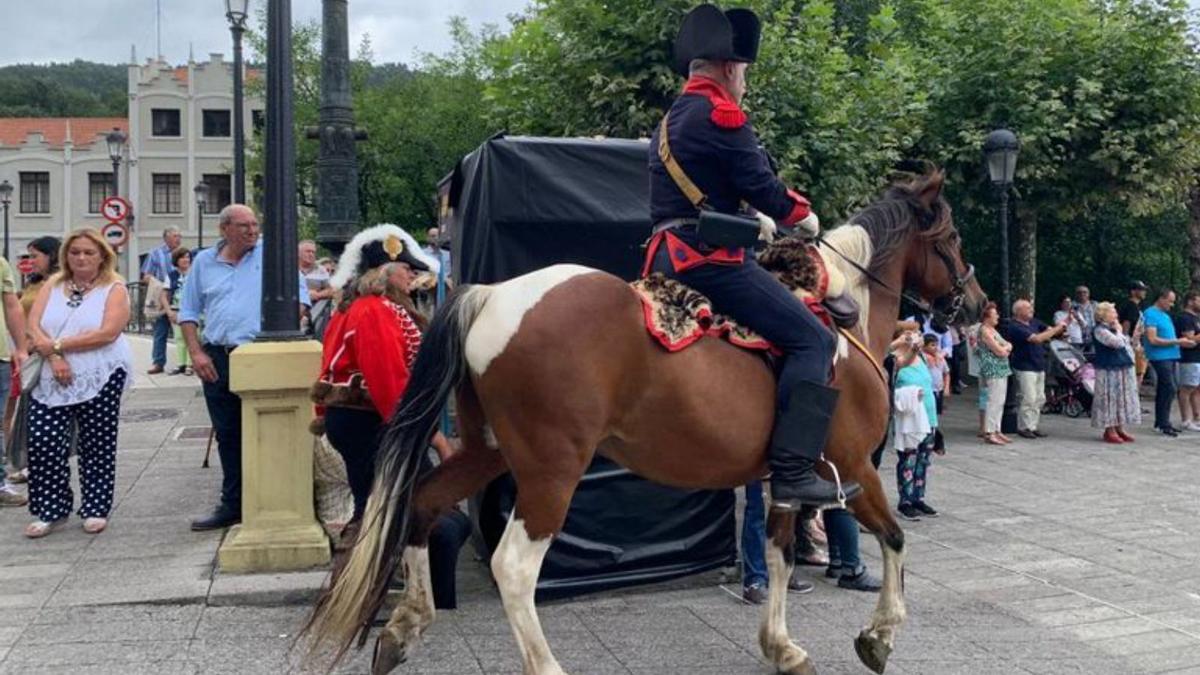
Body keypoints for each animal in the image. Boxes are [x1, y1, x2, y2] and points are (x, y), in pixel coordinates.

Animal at [300, 170, 984, 672]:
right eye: (952, 239)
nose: (977, 305)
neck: (844, 318)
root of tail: (493, 294)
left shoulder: (785, 480)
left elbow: (780, 555)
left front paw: (782, 646)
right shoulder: (851, 469)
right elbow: (894, 538)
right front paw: (880, 636)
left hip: (485, 450)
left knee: (421, 505)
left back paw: (402, 629)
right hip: (551, 472)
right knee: (513, 568)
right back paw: (543, 666)